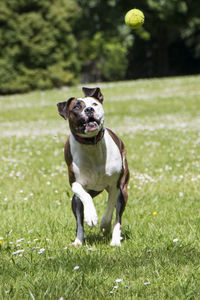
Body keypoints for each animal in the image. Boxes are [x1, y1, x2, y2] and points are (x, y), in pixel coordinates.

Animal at [57, 86, 130, 246]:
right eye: (76, 107)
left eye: (94, 104)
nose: (89, 109)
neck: (91, 145)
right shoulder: (75, 183)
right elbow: (84, 196)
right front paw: (91, 216)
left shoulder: (115, 185)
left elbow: (110, 208)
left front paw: (104, 224)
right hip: (76, 200)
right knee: (79, 221)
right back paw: (78, 242)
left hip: (123, 192)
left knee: (118, 217)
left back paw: (115, 240)